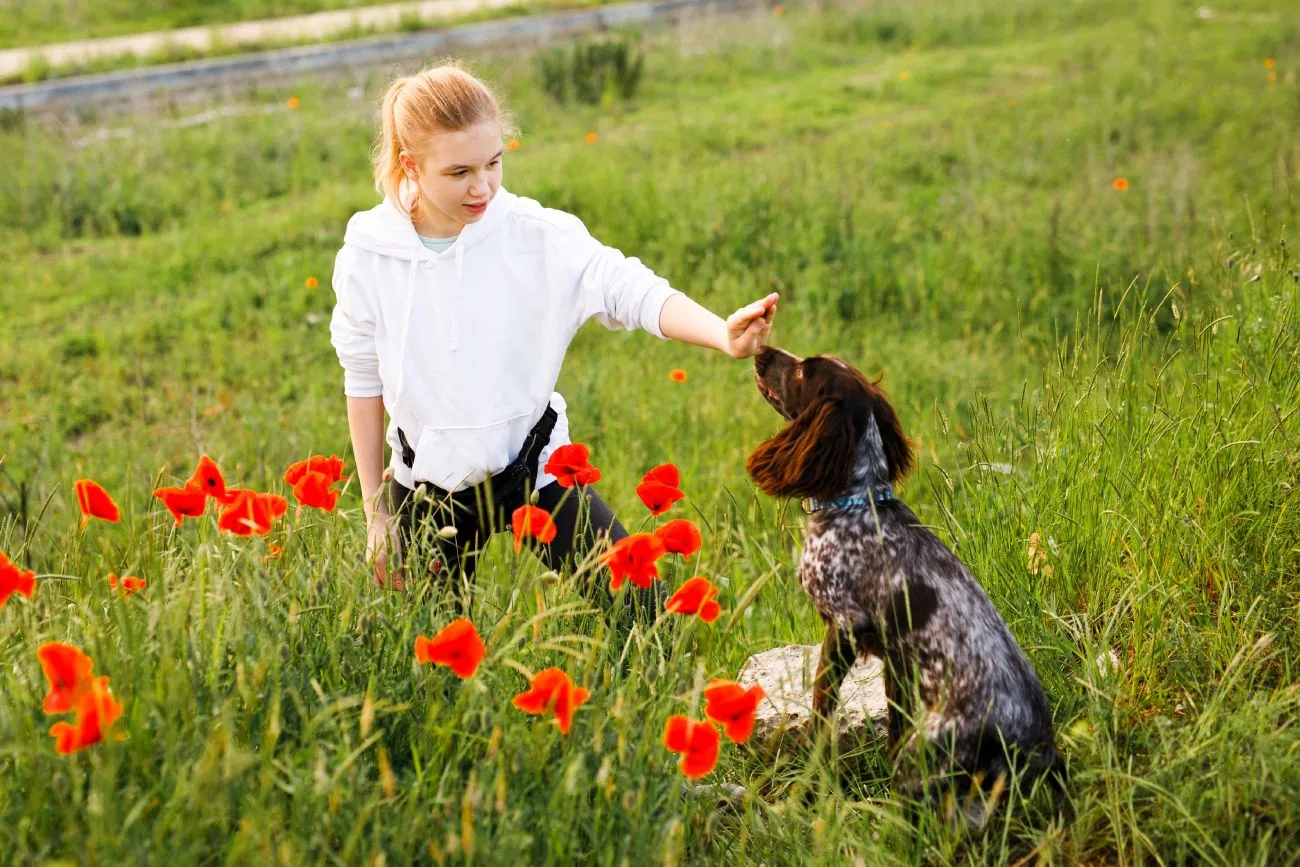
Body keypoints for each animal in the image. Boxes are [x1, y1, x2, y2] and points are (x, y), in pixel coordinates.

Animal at [743, 343, 1066, 821]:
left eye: (803, 370)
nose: (762, 350)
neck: (860, 504)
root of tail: (1039, 750)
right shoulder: (896, 659)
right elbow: (894, 722)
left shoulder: (843, 628)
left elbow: (821, 712)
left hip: (929, 756)